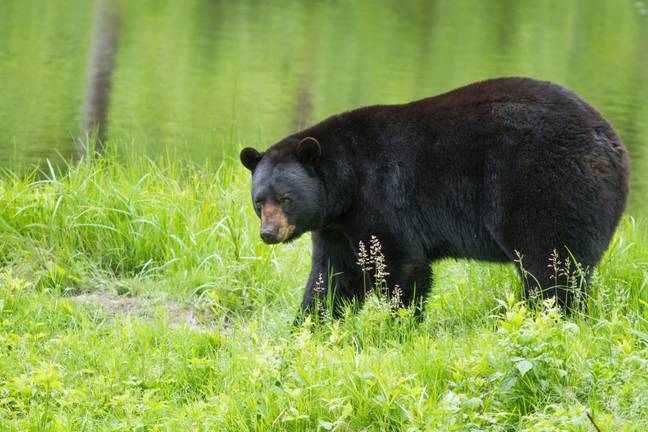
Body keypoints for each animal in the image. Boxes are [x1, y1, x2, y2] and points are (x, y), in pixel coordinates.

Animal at [239, 77, 628, 318]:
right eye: (259, 201)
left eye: (285, 198)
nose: (268, 233)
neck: (346, 184)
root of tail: (612, 143)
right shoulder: (338, 226)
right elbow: (332, 276)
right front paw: (308, 325)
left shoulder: (381, 194)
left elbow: (402, 265)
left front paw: (399, 325)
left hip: (547, 186)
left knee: (551, 263)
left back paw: (550, 315)